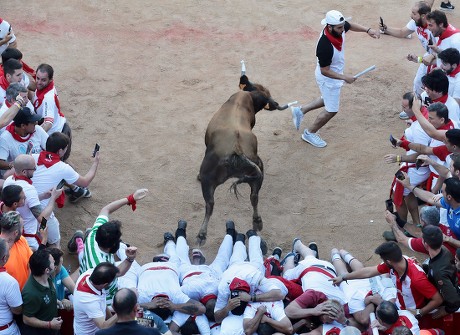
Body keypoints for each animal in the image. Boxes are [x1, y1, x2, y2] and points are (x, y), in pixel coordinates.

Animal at [198, 76, 288, 243]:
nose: (275, 103)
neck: (247, 96)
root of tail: (236, 151)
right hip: (258, 172)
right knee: (254, 197)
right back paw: (257, 221)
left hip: (207, 177)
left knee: (209, 205)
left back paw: (202, 234)